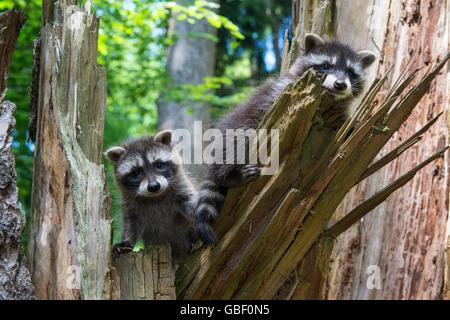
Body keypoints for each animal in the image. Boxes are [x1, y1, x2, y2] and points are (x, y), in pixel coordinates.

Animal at [193, 32, 376, 245]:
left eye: (350, 72)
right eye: (326, 66)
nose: (340, 84)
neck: (327, 99)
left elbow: (344, 123)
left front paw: (356, 125)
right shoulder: (281, 93)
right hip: (235, 130)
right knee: (233, 144)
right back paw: (228, 174)